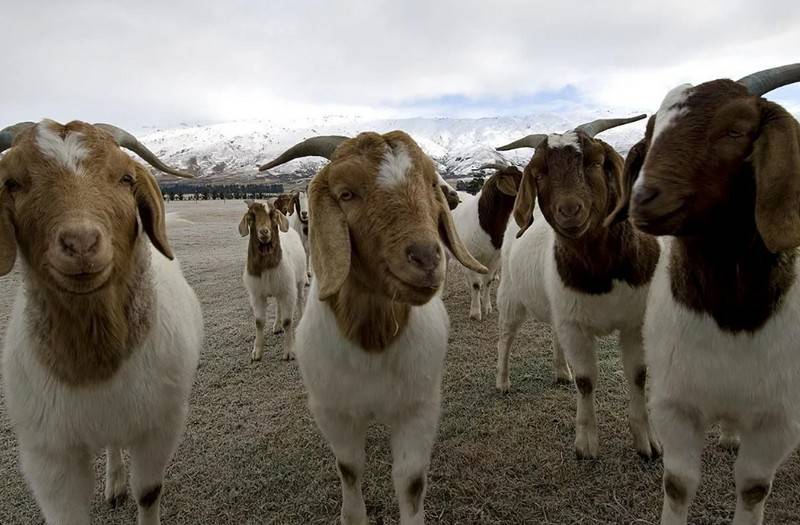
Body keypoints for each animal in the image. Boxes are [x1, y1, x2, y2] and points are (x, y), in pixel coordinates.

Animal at [0, 118, 203, 524]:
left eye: (125, 178)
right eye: (13, 183)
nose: (80, 243)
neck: (96, 366)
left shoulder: (159, 423)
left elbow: (148, 492)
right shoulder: (48, 453)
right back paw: (114, 484)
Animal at [260, 132, 488, 524]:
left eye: (430, 184)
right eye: (347, 193)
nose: (426, 258)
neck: (373, 337)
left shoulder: (418, 406)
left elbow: (410, 481)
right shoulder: (334, 410)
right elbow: (350, 469)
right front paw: (353, 515)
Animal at [494, 114, 664, 458]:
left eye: (596, 162)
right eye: (540, 172)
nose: (570, 210)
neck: (602, 273)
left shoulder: (634, 322)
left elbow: (638, 376)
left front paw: (646, 440)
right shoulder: (575, 325)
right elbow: (586, 381)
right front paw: (586, 444)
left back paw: (562, 372)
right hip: (511, 297)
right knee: (506, 336)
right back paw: (502, 381)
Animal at [620, 64, 800, 524]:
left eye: (736, 130)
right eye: (650, 133)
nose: (643, 198)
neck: (730, 313)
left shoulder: (778, 419)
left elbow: (754, 488)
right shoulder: (676, 404)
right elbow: (678, 484)